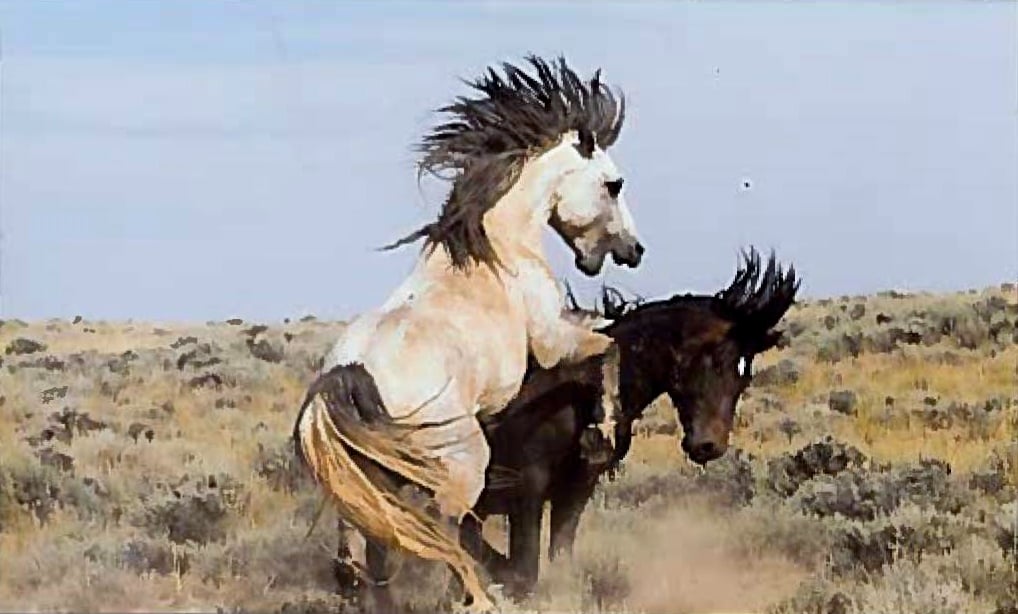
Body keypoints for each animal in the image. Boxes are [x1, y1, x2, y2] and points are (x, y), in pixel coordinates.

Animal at [295, 56, 643, 610]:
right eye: (614, 184)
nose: (634, 250)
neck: (498, 251)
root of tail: (347, 375)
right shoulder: (550, 343)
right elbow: (608, 346)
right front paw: (604, 429)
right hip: (462, 464)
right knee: (441, 532)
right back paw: (482, 594)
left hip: (367, 481)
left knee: (364, 552)